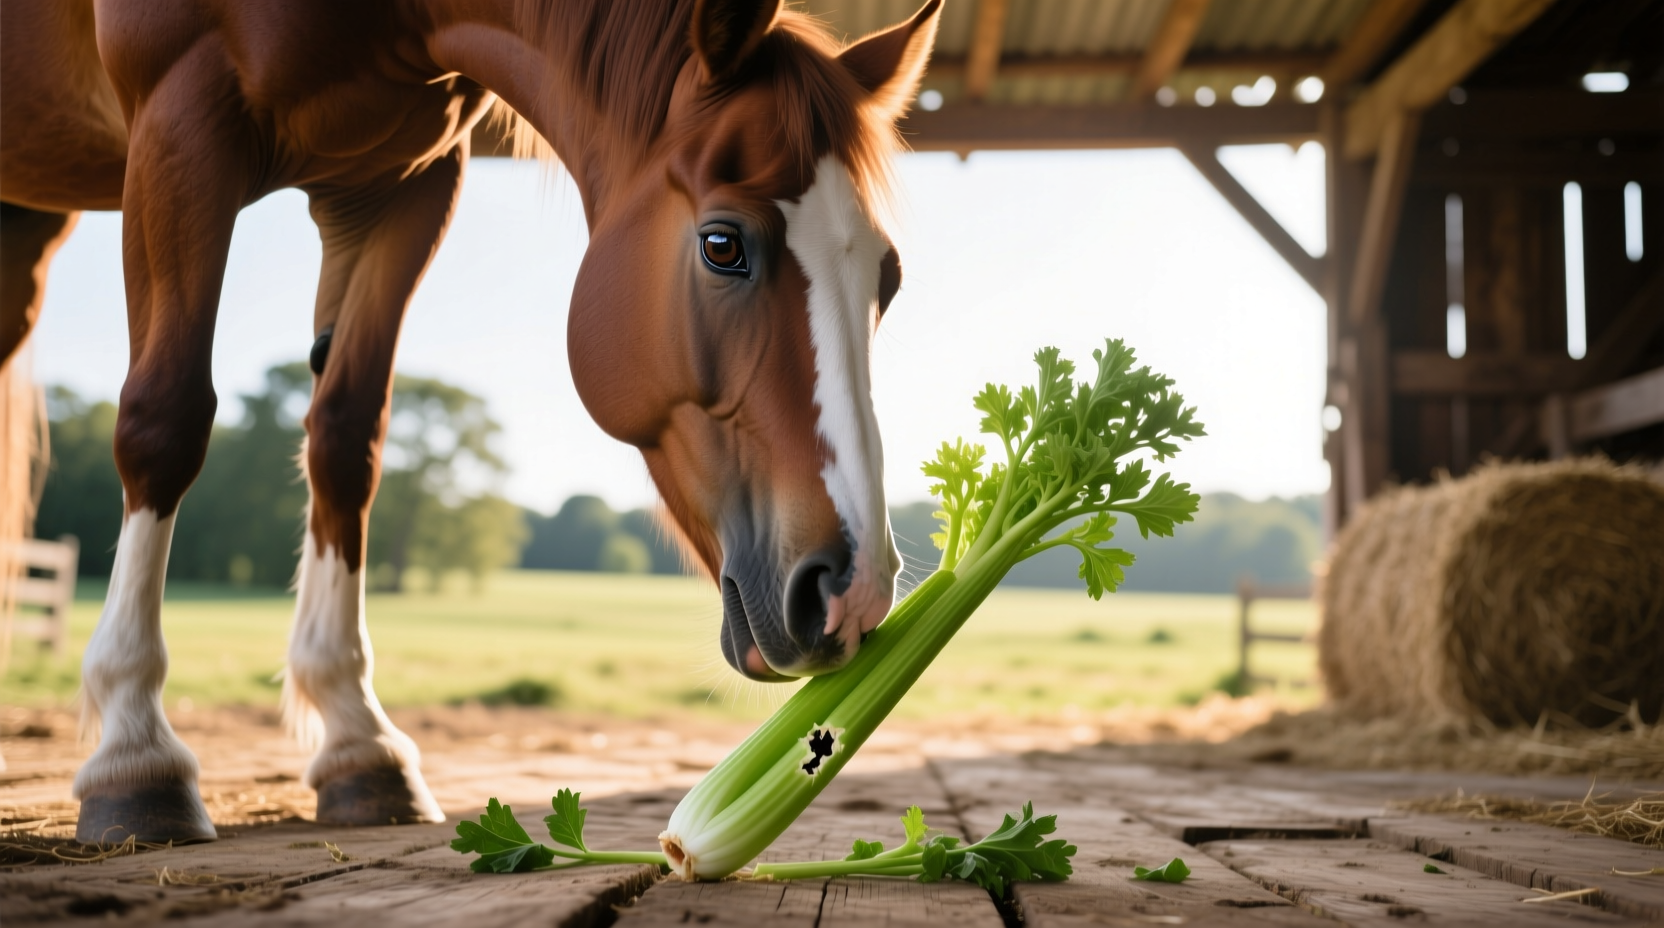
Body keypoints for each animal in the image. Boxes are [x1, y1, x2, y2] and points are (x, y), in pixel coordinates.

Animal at [0, 0, 940, 843]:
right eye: (722, 245)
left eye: (888, 280)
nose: (852, 591)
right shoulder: (179, 122)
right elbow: (166, 418)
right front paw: (135, 753)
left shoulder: (403, 186)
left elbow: (346, 439)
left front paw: (360, 742)